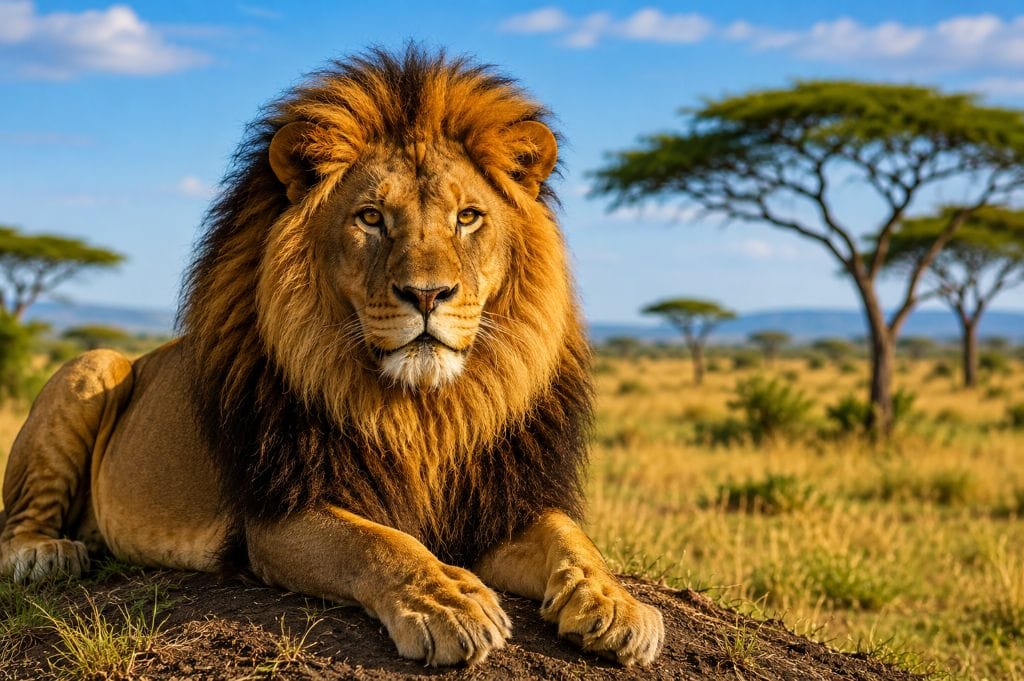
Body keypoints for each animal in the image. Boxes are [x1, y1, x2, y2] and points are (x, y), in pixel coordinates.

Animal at [0, 47, 664, 666]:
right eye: (371, 217)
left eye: (468, 217)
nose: (428, 294)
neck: (426, 414)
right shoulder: (280, 515)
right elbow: (378, 544)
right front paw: (447, 601)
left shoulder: (498, 506)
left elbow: (572, 539)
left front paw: (616, 604)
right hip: (93, 364)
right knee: (18, 524)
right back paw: (46, 554)